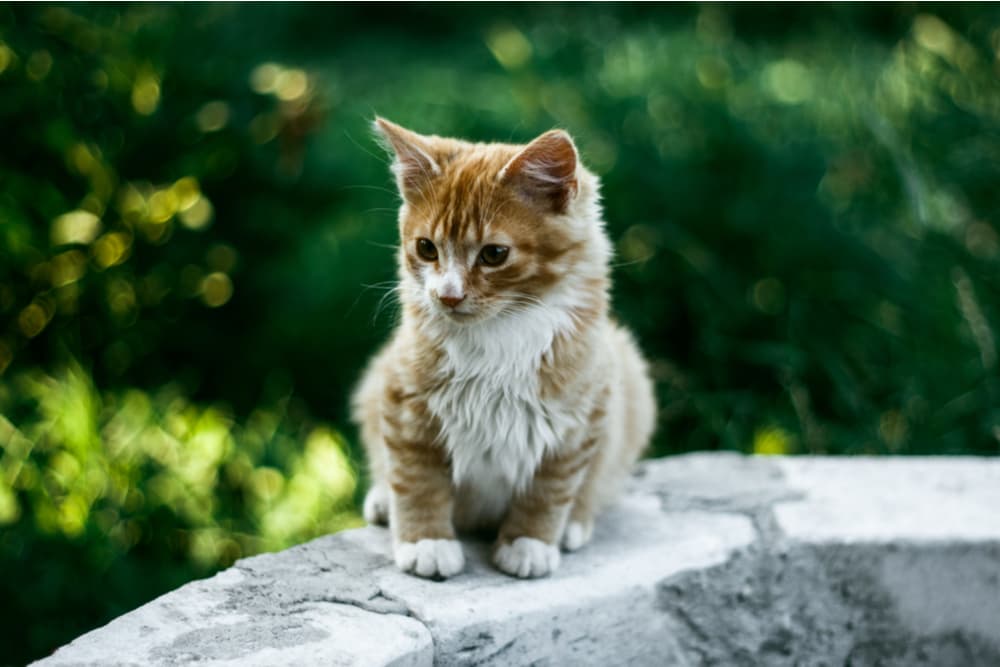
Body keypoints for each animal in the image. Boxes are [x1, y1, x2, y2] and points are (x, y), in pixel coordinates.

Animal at [352, 120, 656, 580]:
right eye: (426, 248)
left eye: (494, 254)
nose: (448, 296)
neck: (498, 335)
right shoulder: (403, 398)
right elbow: (416, 478)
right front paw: (426, 542)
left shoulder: (580, 417)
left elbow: (550, 488)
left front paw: (529, 542)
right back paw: (384, 499)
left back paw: (574, 524)